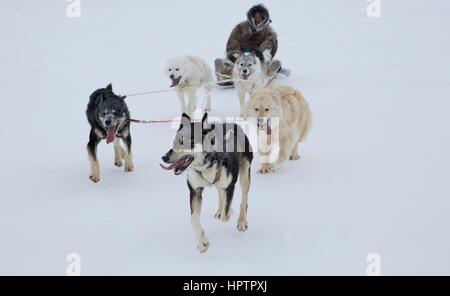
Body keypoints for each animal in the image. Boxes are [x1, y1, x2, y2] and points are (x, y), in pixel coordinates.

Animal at [162, 112, 253, 252]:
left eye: (183, 142)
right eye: (174, 141)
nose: (164, 157)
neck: (206, 166)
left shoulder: (230, 185)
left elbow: (226, 213)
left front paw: (229, 212)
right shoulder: (195, 191)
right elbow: (193, 219)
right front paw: (202, 241)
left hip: (244, 175)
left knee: (243, 200)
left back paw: (241, 221)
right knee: (220, 192)